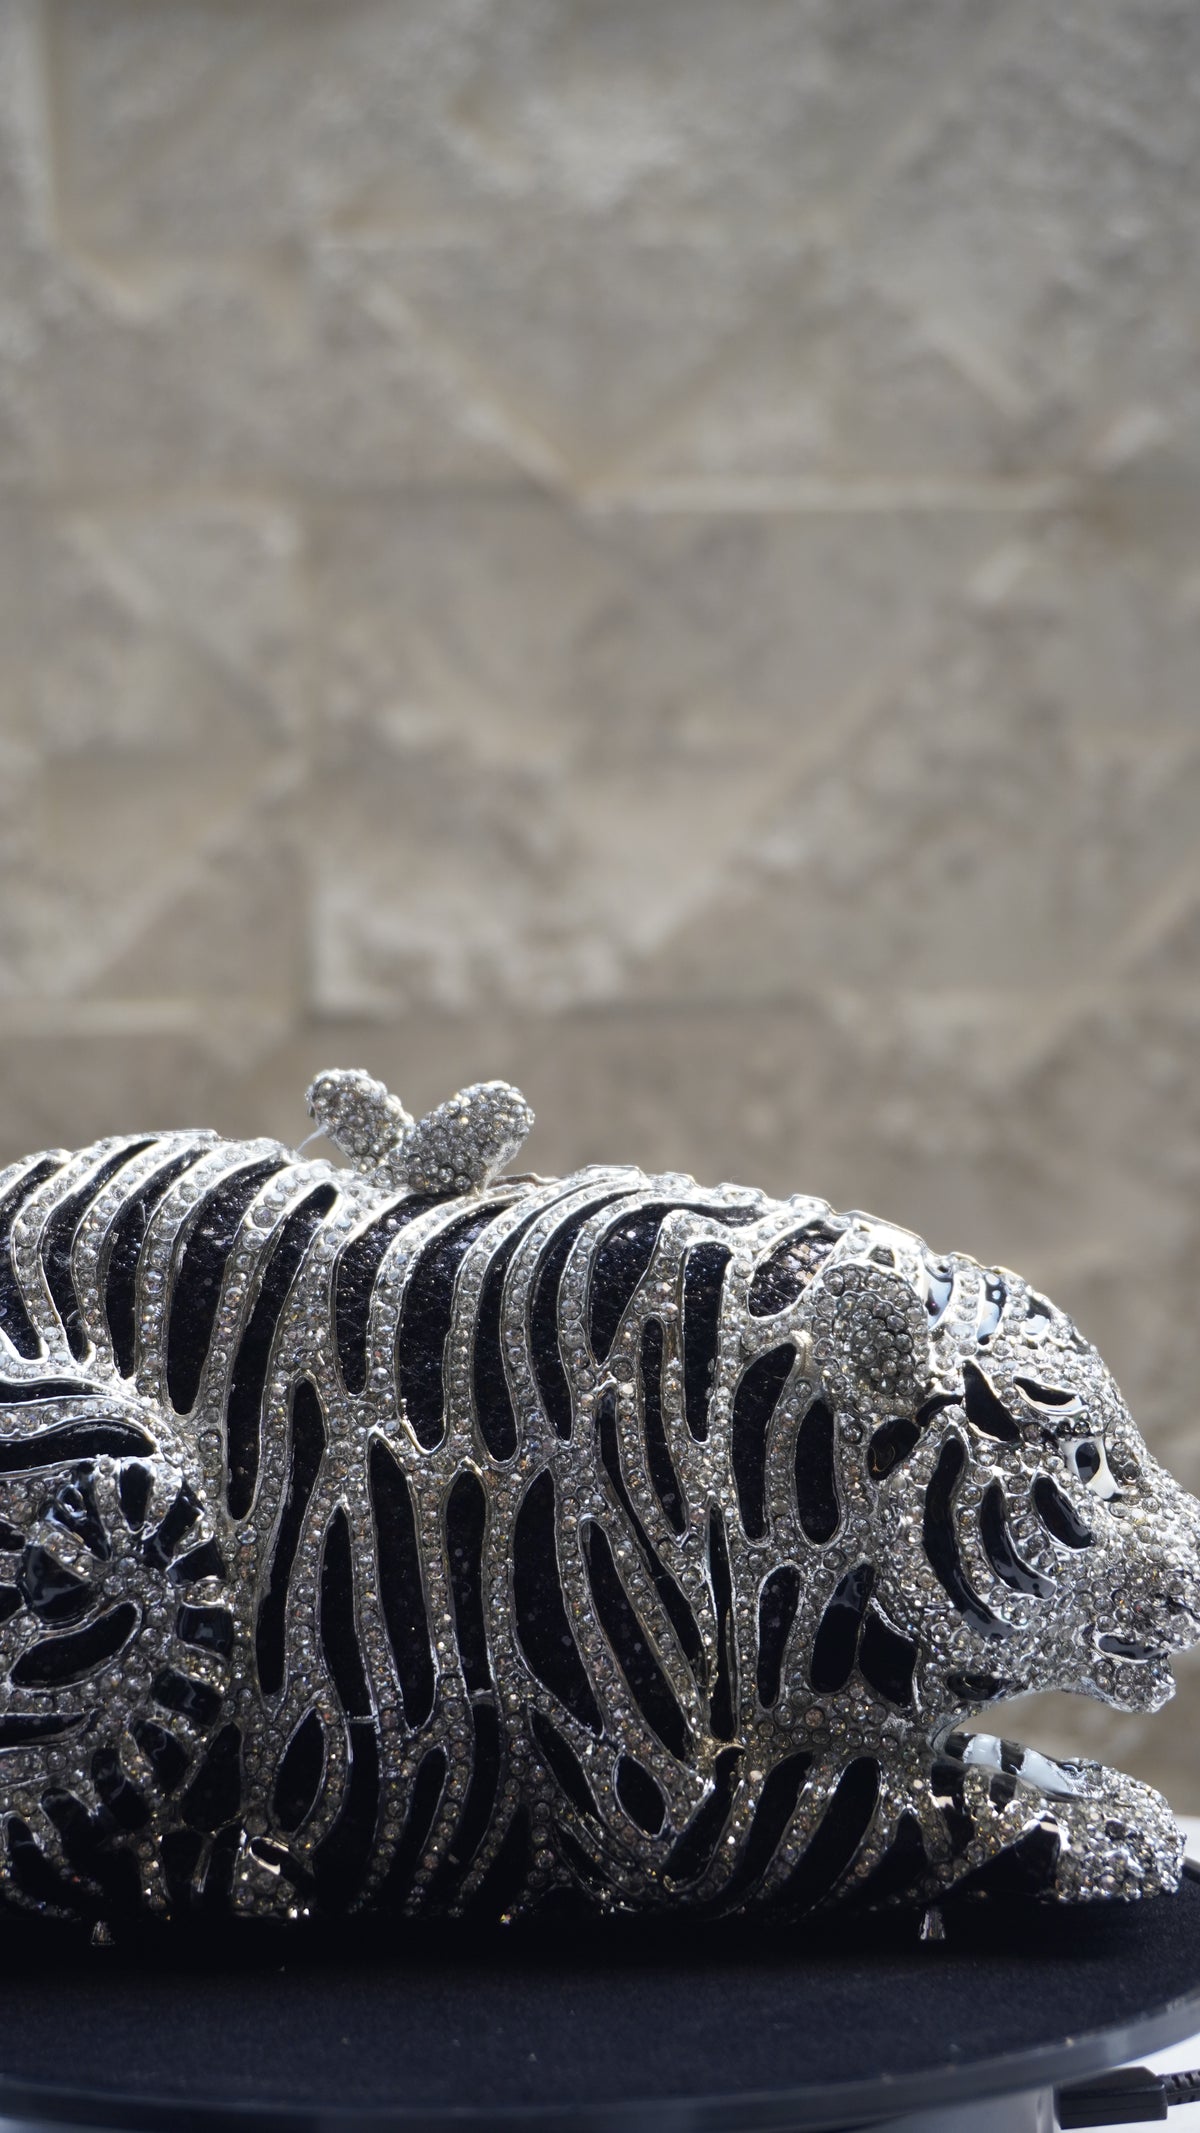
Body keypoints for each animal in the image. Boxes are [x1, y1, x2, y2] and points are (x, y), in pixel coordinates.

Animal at [0, 1066, 1192, 1933]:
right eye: (1086, 1458)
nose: (1190, 1580)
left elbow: (1005, 1767)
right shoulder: (675, 1811)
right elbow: (949, 1818)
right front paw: (1127, 1836)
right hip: (128, 1509)